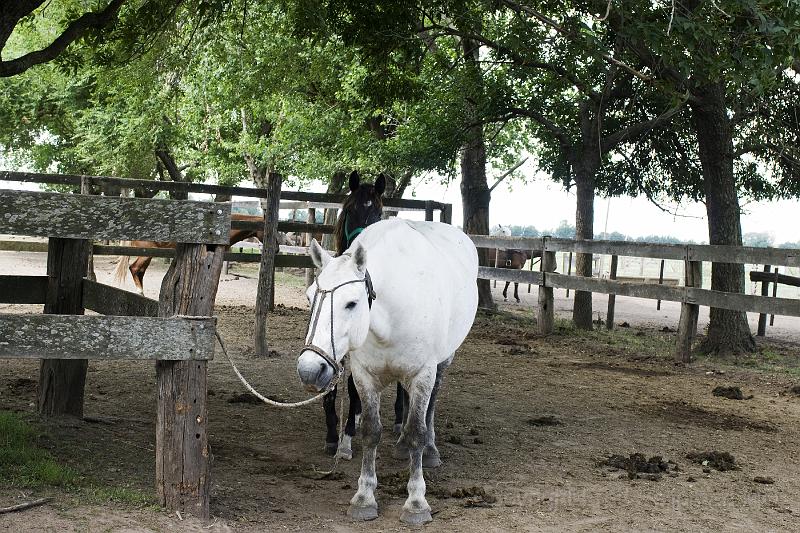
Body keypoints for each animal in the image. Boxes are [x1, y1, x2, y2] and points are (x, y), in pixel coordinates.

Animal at [296, 217, 478, 524]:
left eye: (352, 303)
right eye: (310, 298)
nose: (310, 370)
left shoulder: (423, 374)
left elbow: (417, 429)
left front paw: (416, 502)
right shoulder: (364, 377)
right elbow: (371, 431)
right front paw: (364, 497)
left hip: (443, 361)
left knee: (431, 405)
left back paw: (430, 449)